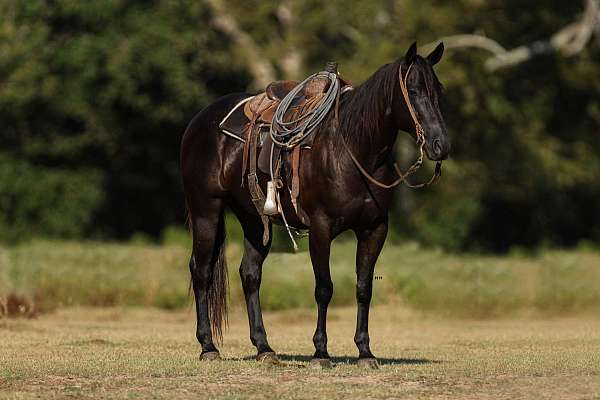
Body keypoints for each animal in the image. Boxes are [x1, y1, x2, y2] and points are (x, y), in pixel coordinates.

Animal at [180, 42, 448, 368]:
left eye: (439, 90)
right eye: (413, 89)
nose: (440, 145)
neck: (351, 148)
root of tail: (199, 120)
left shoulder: (374, 229)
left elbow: (364, 288)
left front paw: (365, 352)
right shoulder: (321, 228)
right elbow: (324, 288)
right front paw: (321, 352)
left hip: (253, 218)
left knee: (250, 274)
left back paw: (264, 348)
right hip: (206, 210)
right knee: (201, 271)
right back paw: (208, 346)